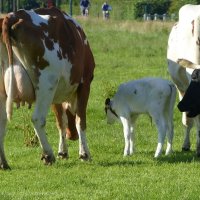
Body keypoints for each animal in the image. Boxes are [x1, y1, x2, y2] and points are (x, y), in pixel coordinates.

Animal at [0, 6, 95, 169]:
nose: (72, 136)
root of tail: (12, 15)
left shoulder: (56, 94)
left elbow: (60, 121)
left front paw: (63, 152)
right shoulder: (85, 83)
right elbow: (80, 119)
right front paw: (84, 154)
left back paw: (4, 163)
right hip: (46, 84)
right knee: (38, 118)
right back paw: (48, 155)